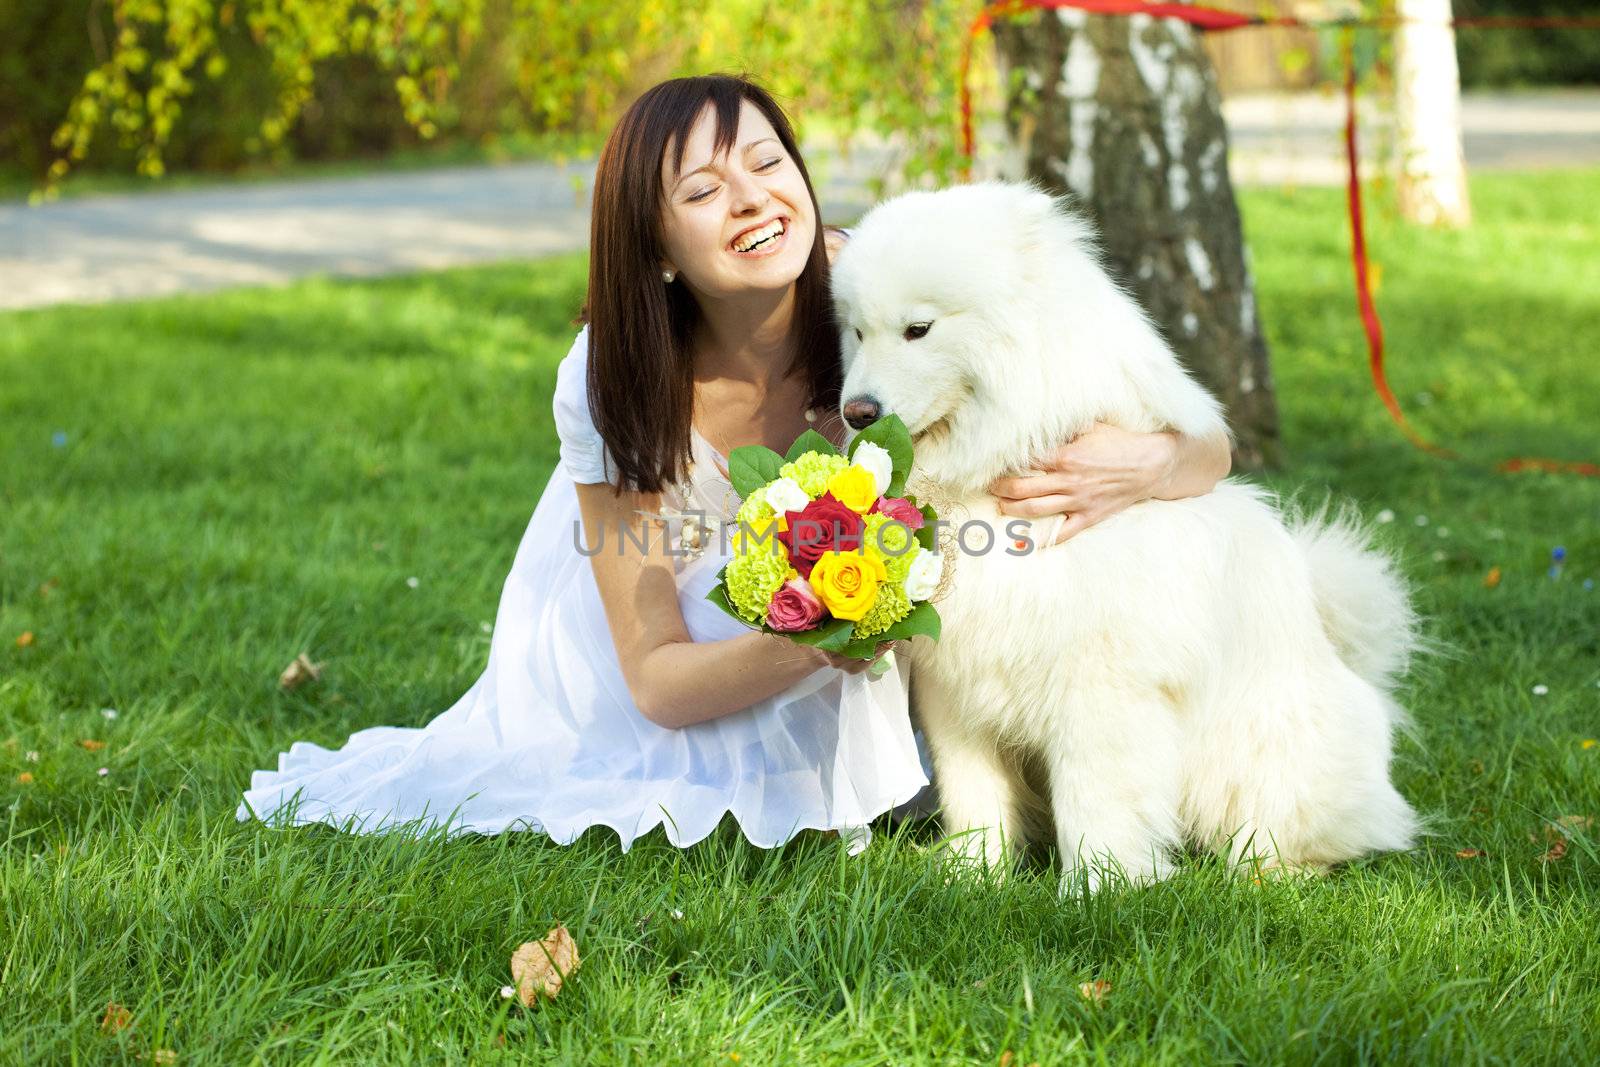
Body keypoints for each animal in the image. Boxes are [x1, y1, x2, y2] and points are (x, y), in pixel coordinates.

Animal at [832, 181, 1420, 895]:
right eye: (857, 331)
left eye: (919, 329)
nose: (856, 411)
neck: (994, 470)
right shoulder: (957, 684)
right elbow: (973, 791)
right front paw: (974, 876)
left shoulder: (1100, 683)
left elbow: (1095, 797)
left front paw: (1098, 889)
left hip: (1263, 755)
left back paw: (1270, 874)